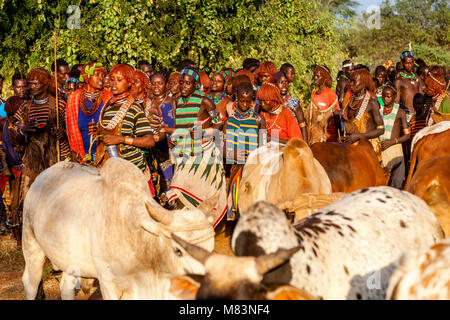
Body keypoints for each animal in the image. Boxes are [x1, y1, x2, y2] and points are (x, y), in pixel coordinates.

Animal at [22, 159, 217, 298]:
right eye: (178, 250)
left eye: (211, 248)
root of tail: (41, 177)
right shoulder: (109, 284)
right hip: (31, 245)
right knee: (31, 283)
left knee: (66, 288)